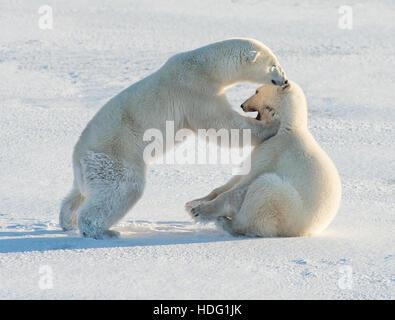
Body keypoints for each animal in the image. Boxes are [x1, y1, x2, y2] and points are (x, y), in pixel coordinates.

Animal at [59, 38, 288, 238]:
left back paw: (67, 221)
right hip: (115, 157)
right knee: (121, 190)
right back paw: (103, 231)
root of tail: (78, 157)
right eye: (274, 65)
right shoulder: (196, 91)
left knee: (79, 193)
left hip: (91, 169)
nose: (284, 80)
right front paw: (272, 122)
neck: (206, 66)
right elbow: (222, 124)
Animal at [187, 81, 342, 236]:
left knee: (263, 193)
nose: (242, 105)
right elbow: (237, 177)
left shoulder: (274, 151)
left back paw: (224, 222)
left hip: (287, 205)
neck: (287, 127)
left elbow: (244, 184)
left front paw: (198, 211)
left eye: (256, 91)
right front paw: (192, 203)